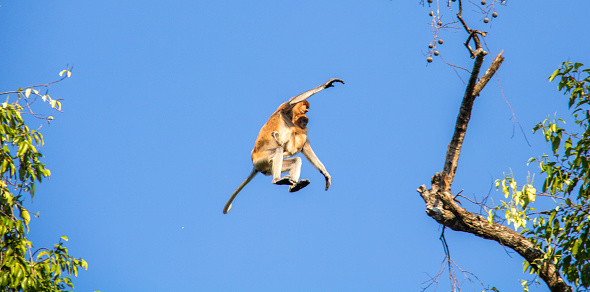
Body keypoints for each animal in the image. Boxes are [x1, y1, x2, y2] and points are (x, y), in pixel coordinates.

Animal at [223, 78, 346, 213]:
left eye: (307, 109)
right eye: (305, 106)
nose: (307, 111)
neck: (291, 117)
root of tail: (255, 164)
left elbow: (305, 148)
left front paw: (326, 174)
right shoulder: (286, 108)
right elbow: (293, 101)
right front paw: (327, 84)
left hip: (267, 167)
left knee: (296, 160)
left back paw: (295, 186)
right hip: (261, 159)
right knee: (278, 149)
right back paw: (277, 179)